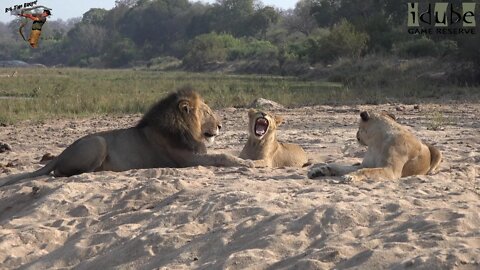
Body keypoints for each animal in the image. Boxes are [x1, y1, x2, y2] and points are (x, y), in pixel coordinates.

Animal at [0, 87, 253, 187]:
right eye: (207, 112)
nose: (220, 126)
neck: (185, 129)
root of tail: (61, 153)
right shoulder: (187, 160)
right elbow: (222, 156)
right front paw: (248, 162)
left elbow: (223, 153)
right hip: (98, 142)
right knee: (63, 172)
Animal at [308, 110, 442, 182]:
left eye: (358, 127)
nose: (356, 134)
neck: (376, 142)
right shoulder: (365, 165)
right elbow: (340, 167)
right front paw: (320, 170)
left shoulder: (390, 170)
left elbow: (365, 171)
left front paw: (351, 177)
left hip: (437, 151)